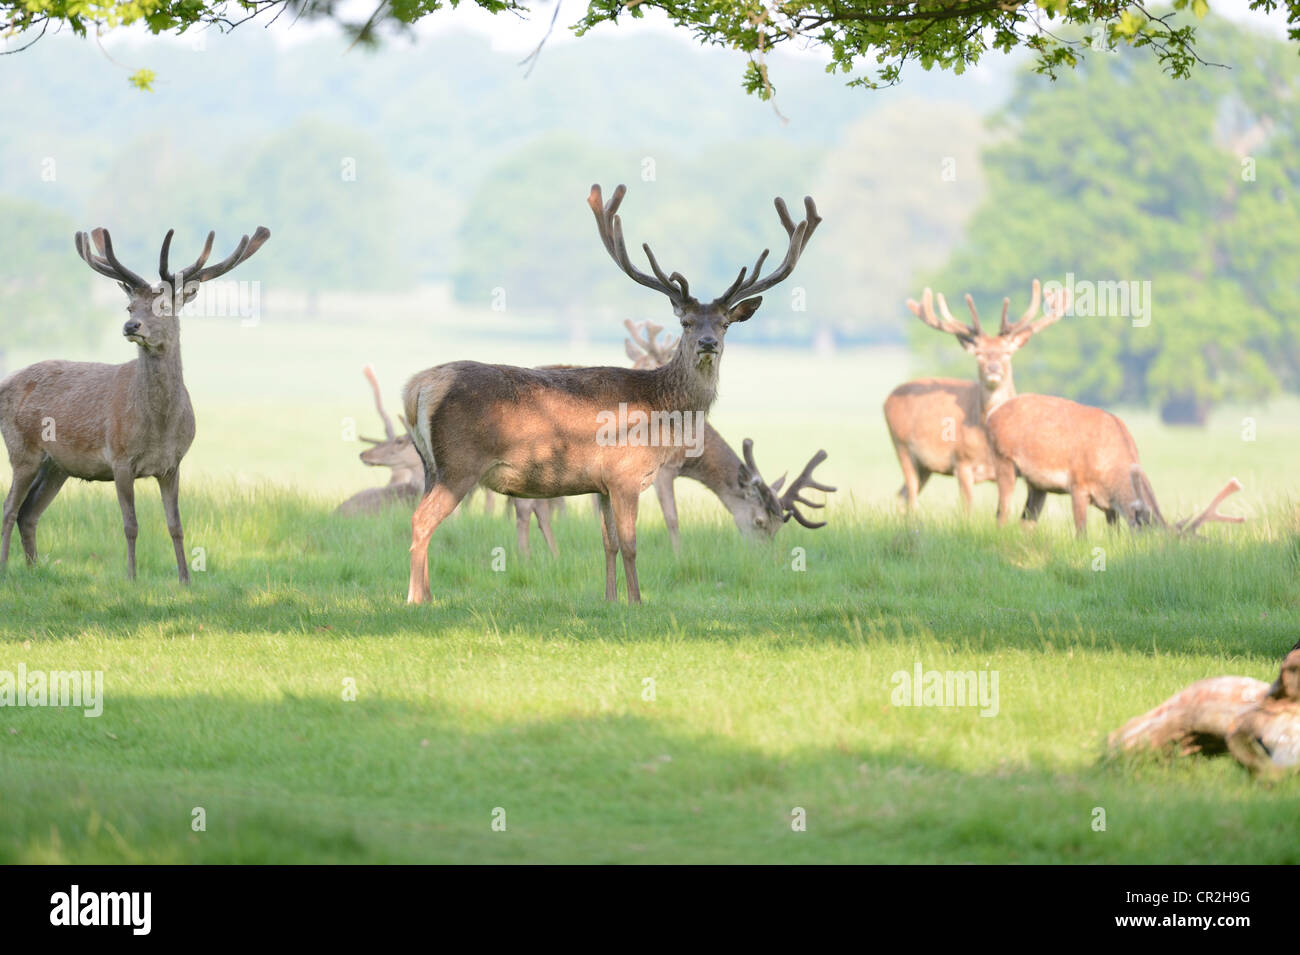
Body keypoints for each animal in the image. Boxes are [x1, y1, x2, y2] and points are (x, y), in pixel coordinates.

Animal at [1, 226, 269, 582]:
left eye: (164, 305)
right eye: (130, 308)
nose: (131, 326)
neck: (159, 426)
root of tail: (4, 384)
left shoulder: (173, 464)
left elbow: (175, 525)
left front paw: (185, 579)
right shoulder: (120, 458)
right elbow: (131, 525)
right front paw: (131, 577)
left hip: (57, 465)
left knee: (29, 512)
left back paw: (33, 569)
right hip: (22, 450)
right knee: (9, 509)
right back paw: (5, 568)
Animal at [623, 319, 835, 548]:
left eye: (778, 527)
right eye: (759, 521)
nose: (765, 553)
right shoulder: (664, 469)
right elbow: (672, 520)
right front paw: (678, 554)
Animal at [883, 279, 1066, 512]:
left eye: (1007, 352)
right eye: (978, 353)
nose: (993, 368)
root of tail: (888, 399)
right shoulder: (962, 462)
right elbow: (967, 509)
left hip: (925, 465)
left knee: (902, 494)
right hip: (902, 445)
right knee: (910, 494)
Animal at [986, 393, 1245, 535]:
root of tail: (991, 415)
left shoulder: (1111, 507)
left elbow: (1115, 535)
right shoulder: (1078, 484)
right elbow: (1081, 533)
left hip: (1038, 485)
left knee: (1026, 521)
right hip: (1003, 460)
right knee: (1001, 513)